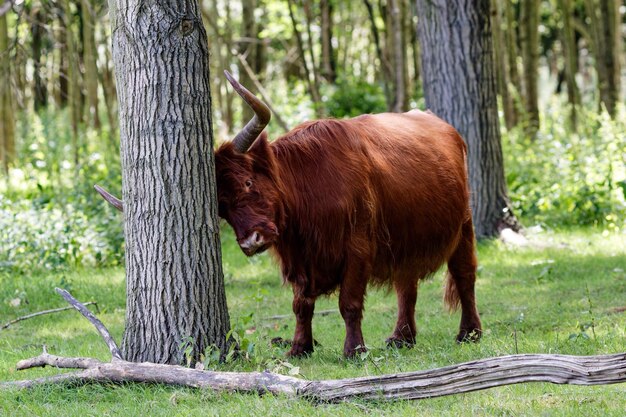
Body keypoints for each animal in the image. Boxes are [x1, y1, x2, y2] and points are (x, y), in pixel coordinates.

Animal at [216, 70, 482, 356]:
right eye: (222, 208)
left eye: (248, 182)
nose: (250, 242)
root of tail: (445, 126)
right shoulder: (300, 258)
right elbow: (301, 305)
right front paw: (300, 347)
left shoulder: (357, 247)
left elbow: (349, 302)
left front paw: (354, 349)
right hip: (404, 236)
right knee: (406, 285)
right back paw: (402, 336)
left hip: (463, 225)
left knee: (464, 274)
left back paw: (469, 332)